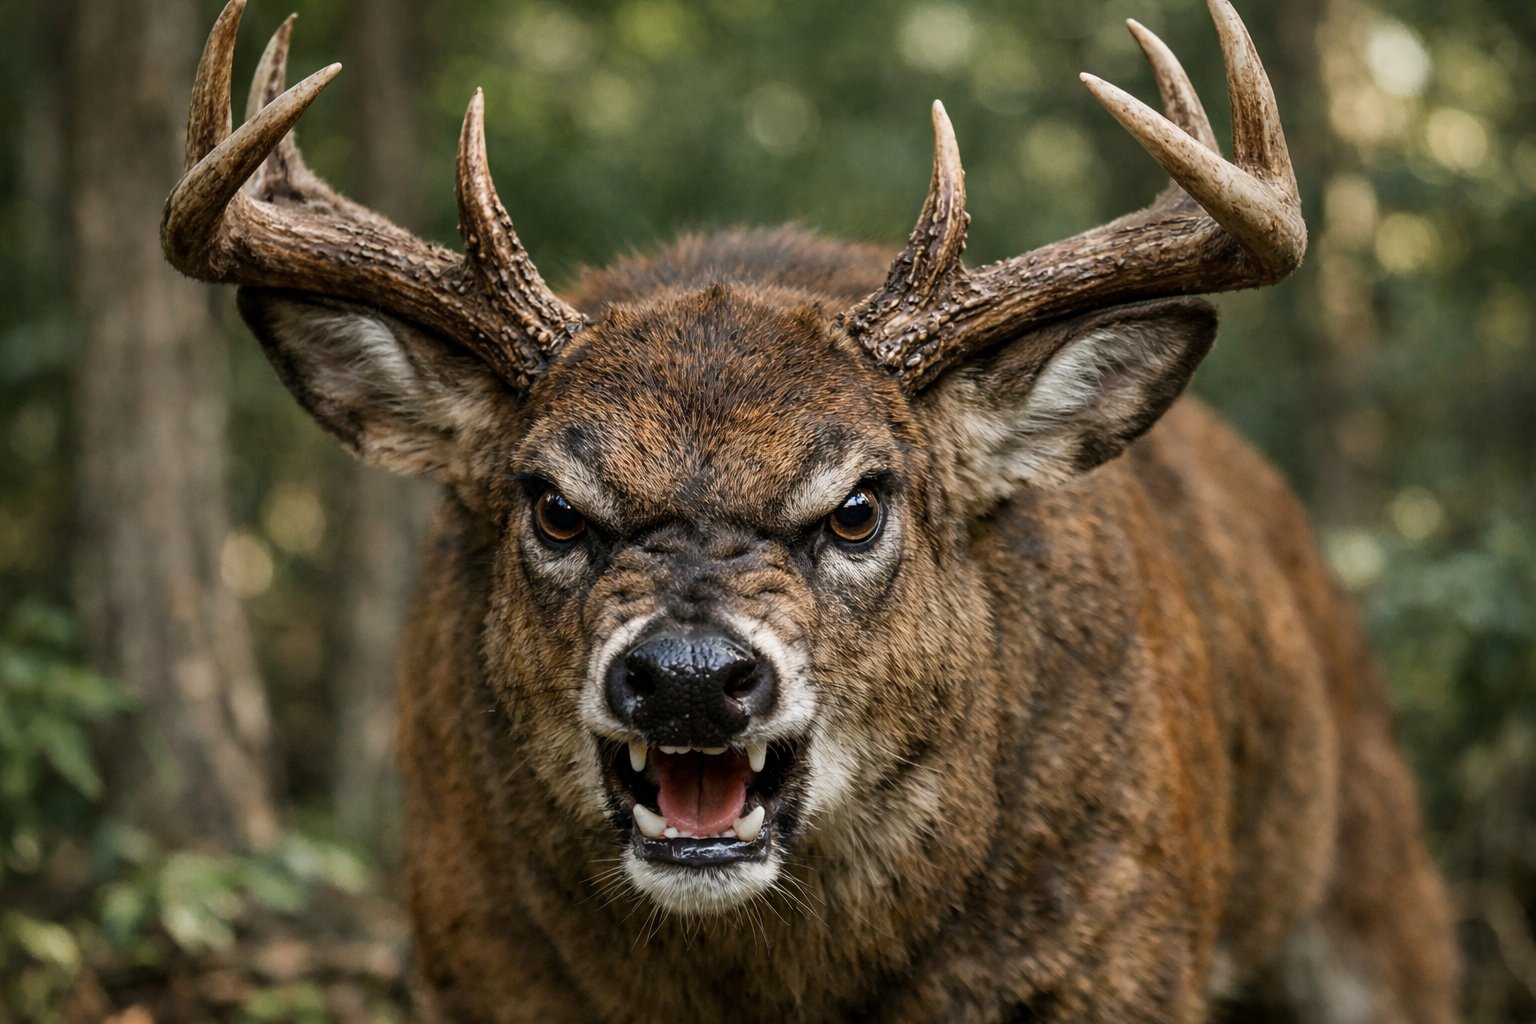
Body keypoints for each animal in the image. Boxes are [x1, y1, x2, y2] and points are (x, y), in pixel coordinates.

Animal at [162, 0, 1458, 1019]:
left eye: (858, 506)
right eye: (555, 506)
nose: (689, 677)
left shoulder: (1123, 947)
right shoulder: (472, 956)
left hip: (1375, 880)